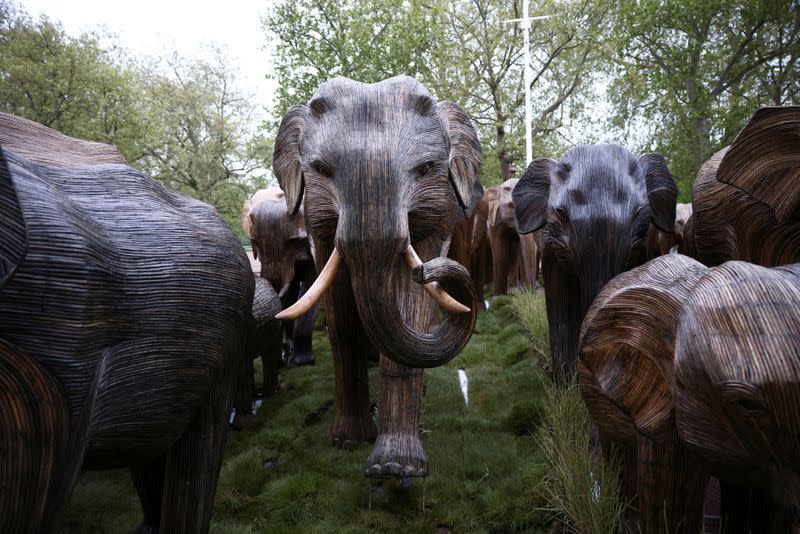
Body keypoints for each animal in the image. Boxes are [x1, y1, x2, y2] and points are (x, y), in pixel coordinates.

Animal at [272, 74, 482, 478]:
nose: (426, 273)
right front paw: (347, 441)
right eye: (320, 169)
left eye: (427, 168)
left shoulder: (439, 213)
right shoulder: (318, 225)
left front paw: (396, 469)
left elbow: (411, 312)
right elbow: (341, 321)